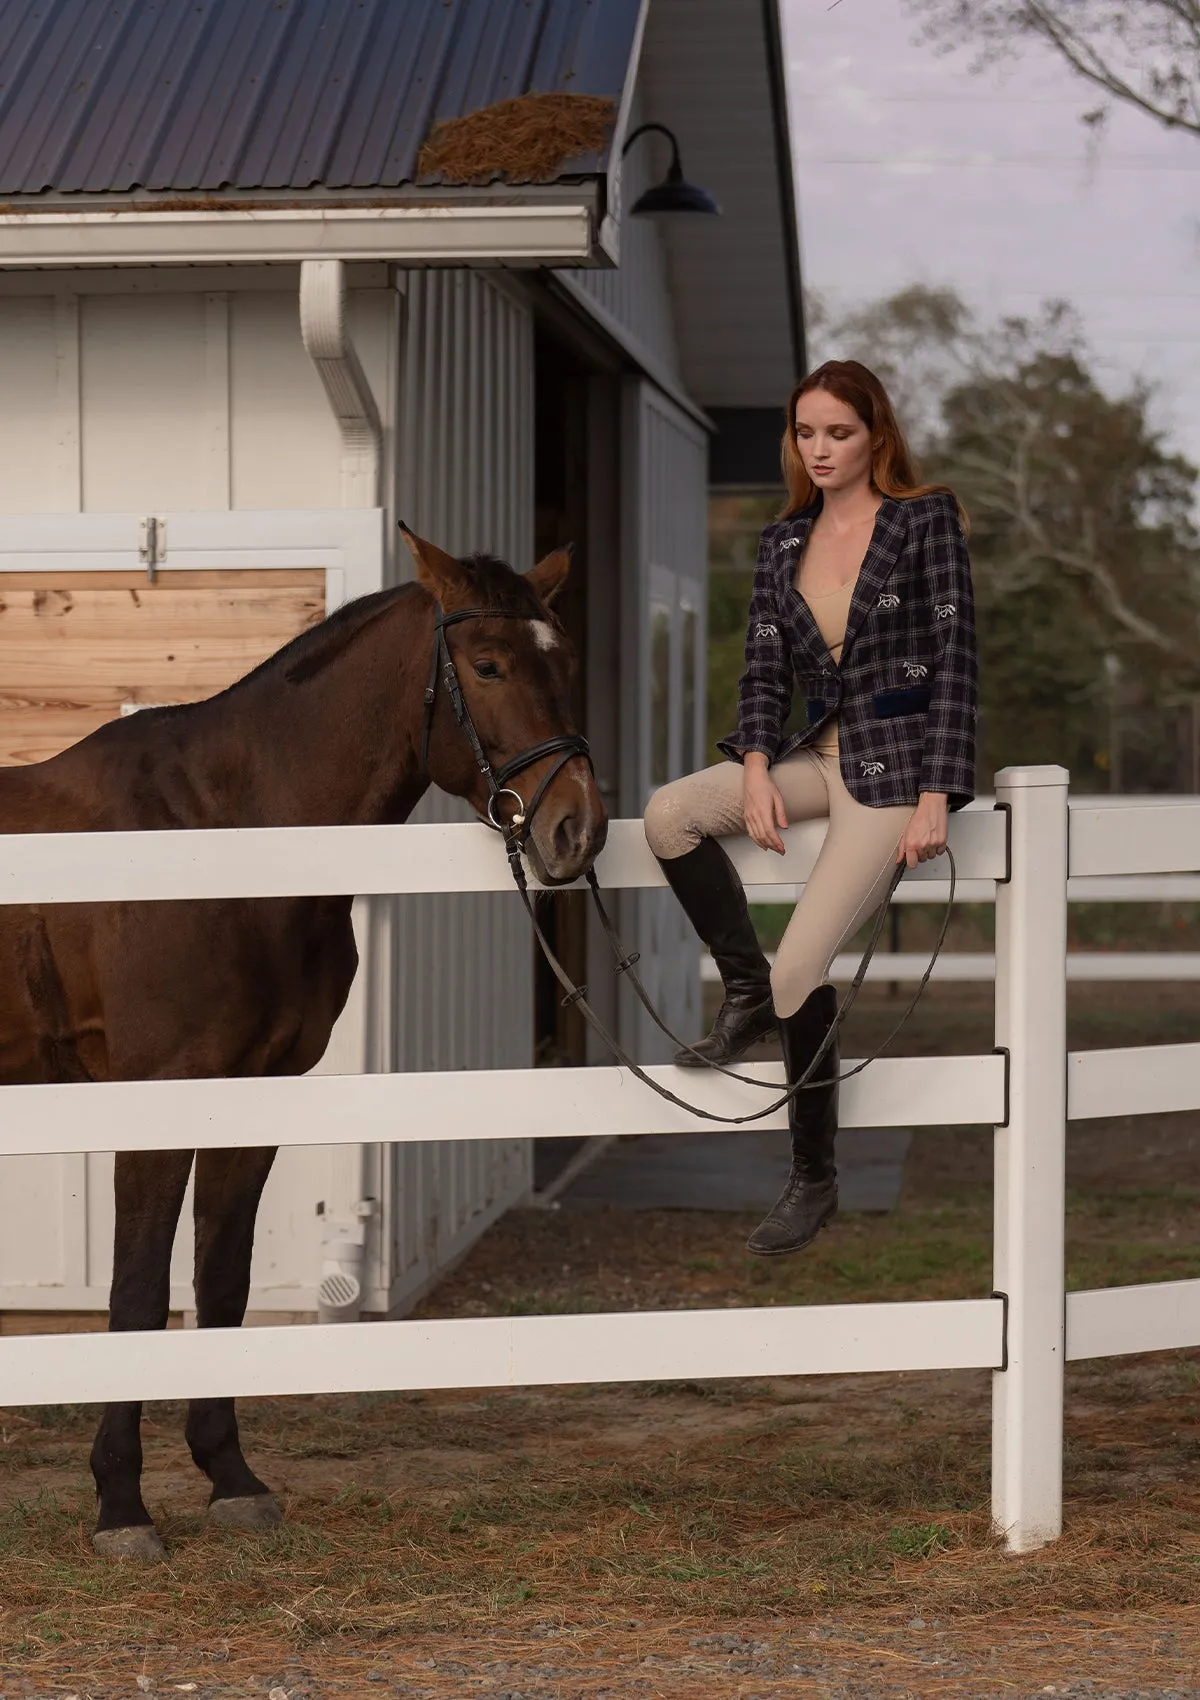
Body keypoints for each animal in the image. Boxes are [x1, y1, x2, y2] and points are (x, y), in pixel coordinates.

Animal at [0, 527, 601, 1557]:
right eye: (487, 665)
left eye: (564, 661)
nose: (577, 828)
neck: (223, 840)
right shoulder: (159, 1099)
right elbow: (136, 1295)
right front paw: (121, 1507)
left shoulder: (255, 1098)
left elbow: (223, 1281)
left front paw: (230, 1480)